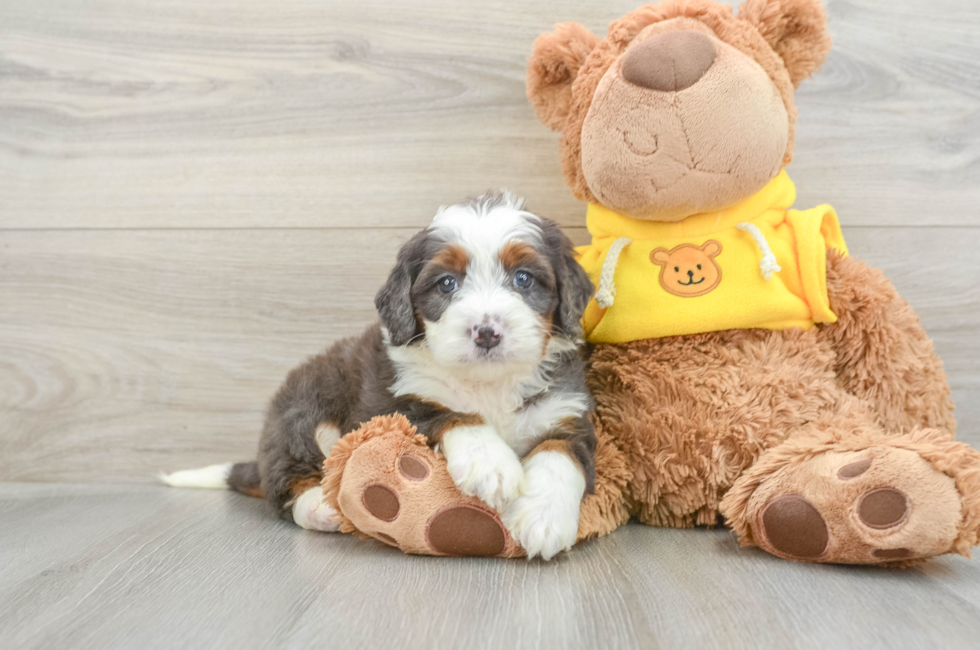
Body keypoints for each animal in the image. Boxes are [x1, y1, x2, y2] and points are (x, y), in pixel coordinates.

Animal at [167, 191, 596, 556]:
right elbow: (449, 413)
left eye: (523, 278)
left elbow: (561, 455)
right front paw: (490, 464)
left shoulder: (567, 415)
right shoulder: (388, 404)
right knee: (286, 483)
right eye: (446, 283)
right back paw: (321, 507)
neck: (488, 383)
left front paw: (543, 517)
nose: (487, 332)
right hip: (302, 412)